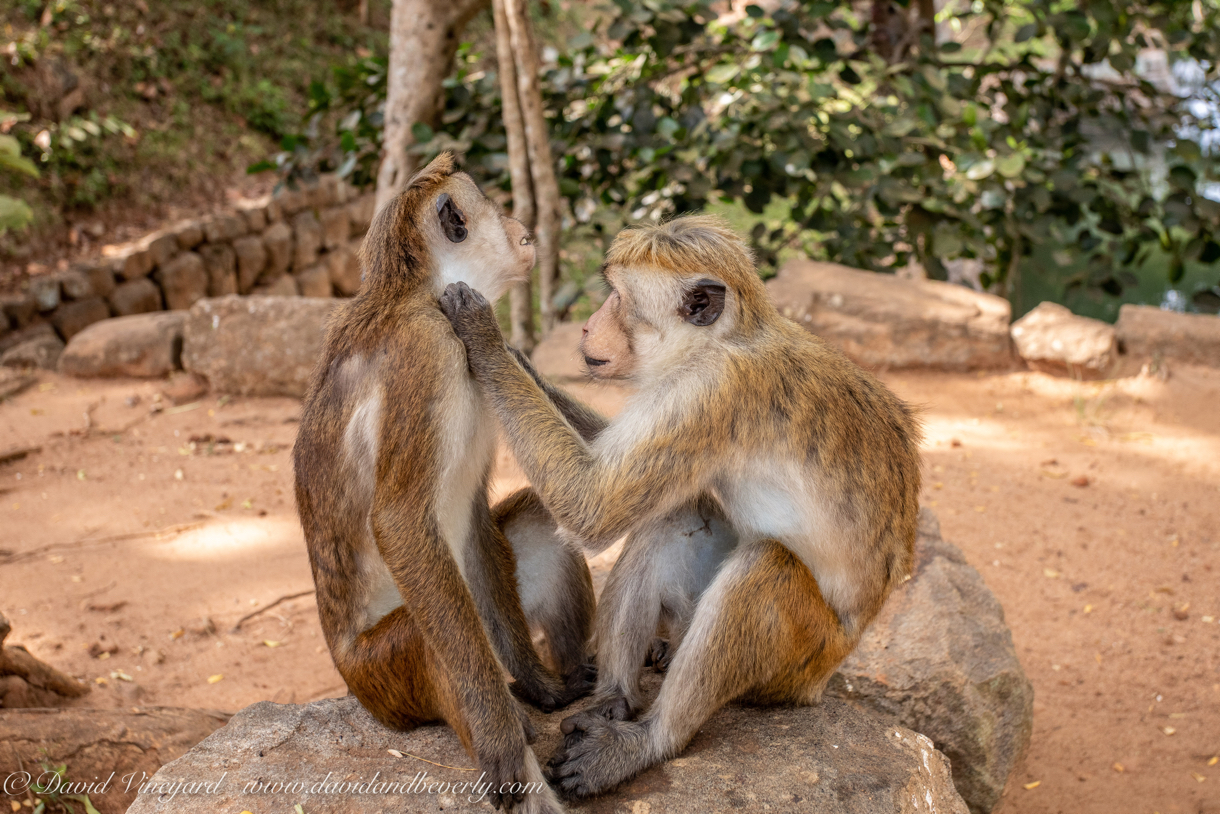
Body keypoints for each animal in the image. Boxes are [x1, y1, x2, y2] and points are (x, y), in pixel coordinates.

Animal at [296, 154, 600, 814]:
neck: (424, 295)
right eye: (492, 207)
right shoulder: (427, 353)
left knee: (539, 526)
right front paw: (505, 740)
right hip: (386, 674)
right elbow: (401, 523)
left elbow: (477, 515)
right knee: (428, 634)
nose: (523, 231)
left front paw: (539, 684)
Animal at [439, 214, 922, 795]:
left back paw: (651, 740)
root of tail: (827, 675)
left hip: (804, 658)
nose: (586, 328)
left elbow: (592, 505)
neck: (723, 339)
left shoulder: (711, 392)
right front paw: (514, 356)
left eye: (619, 298)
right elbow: (621, 489)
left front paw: (483, 337)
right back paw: (614, 697)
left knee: (763, 565)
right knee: (671, 517)